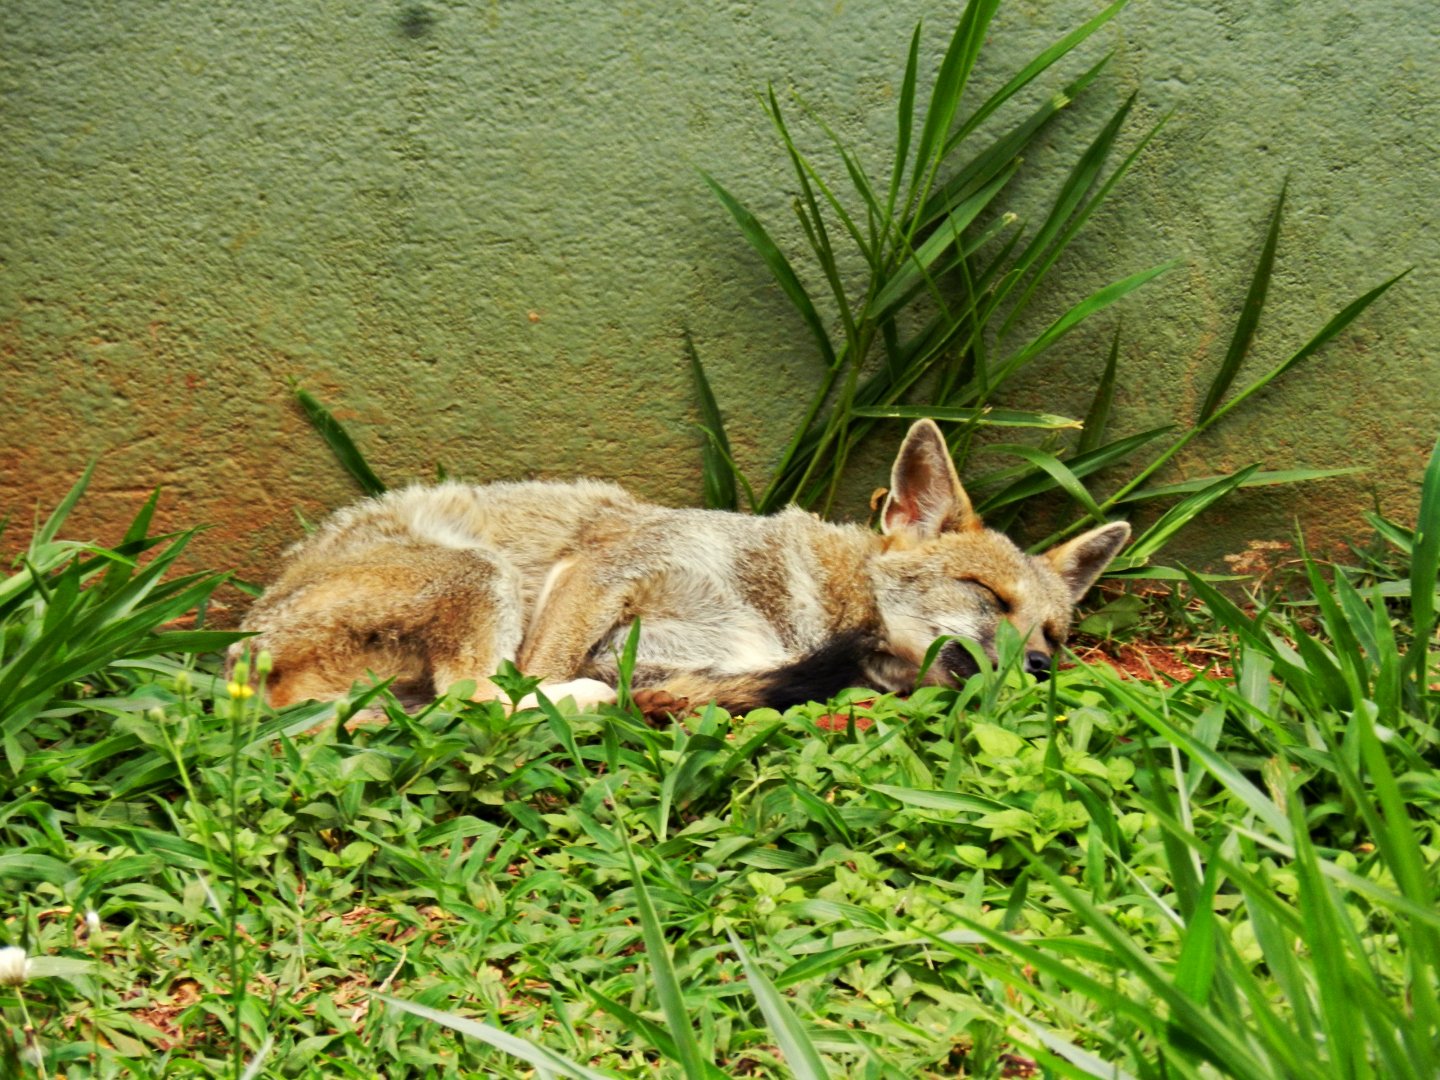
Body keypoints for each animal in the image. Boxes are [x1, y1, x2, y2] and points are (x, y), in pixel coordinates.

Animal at [235, 419, 1130, 713]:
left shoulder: (675, 663)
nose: (1042, 667)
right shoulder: (603, 571)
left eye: (1054, 632)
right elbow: (540, 671)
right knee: (478, 698)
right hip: (479, 573)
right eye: (986, 594)